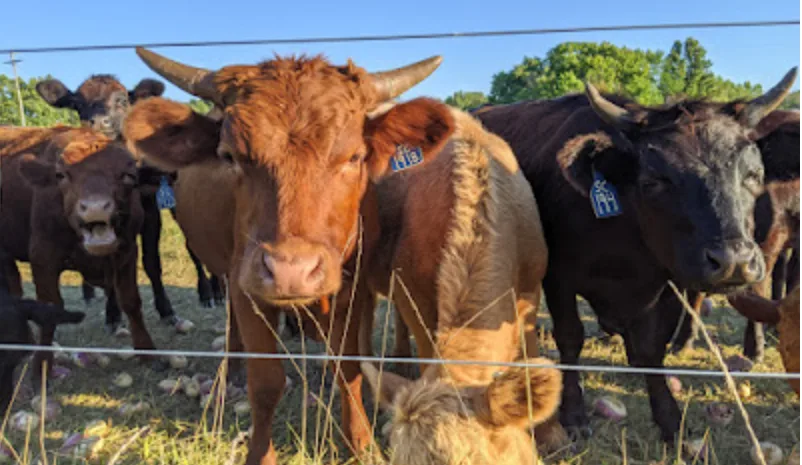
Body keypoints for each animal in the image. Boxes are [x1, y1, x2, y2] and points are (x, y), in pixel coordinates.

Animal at [0, 126, 159, 389]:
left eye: (128, 175)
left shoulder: (127, 252)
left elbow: (130, 301)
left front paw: (148, 353)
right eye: (61, 175)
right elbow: (50, 310)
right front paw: (42, 368)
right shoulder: (42, 256)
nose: (95, 208)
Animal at [35, 75, 218, 332]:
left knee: (194, 244)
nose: (98, 122)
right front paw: (113, 315)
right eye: (77, 104)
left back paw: (211, 293)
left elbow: (152, 262)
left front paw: (167, 311)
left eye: (121, 100)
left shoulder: (151, 209)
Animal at [121, 47, 451, 465]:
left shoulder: (353, 290)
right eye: (229, 155)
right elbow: (266, 384)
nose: (290, 271)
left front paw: (360, 445)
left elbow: (349, 371)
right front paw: (261, 454)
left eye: (354, 156)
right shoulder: (248, 289)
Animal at [472, 67, 798, 444]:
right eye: (655, 180)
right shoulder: (558, 278)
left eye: (754, 175)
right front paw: (573, 414)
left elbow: (651, 349)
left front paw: (670, 421)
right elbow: (570, 337)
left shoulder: (667, 282)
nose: (733, 261)